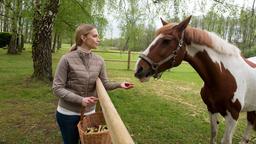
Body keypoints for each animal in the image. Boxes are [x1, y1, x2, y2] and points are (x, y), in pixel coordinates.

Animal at [134, 15, 256, 143]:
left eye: (166, 41)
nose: (138, 69)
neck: (222, 75)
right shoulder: (212, 109)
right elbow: (213, 134)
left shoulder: (233, 117)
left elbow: (226, 140)